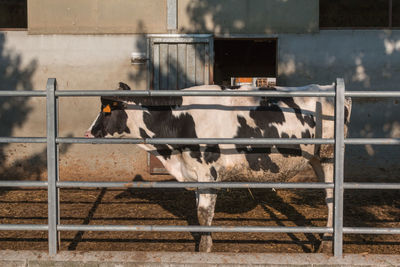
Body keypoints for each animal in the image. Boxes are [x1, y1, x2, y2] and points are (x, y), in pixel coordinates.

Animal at [84, 82, 350, 253]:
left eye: (105, 112)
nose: (88, 132)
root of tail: (326, 87)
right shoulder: (195, 172)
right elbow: (200, 213)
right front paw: (204, 243)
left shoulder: (207, 171)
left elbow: (204, 212)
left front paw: (205, 248)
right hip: (315, 159)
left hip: (329, 157)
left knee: (331, 198)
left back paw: (327, 243)